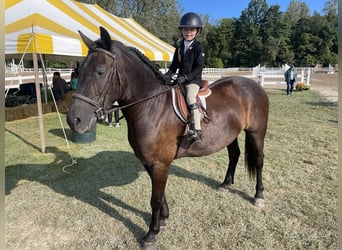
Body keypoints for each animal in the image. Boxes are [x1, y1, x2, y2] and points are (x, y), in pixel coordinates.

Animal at [67, 26, 268, 247]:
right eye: (80, 71)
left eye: (100, 72)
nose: (74, 120)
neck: (151, 106)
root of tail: (254, 84)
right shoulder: (150, 162)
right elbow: (160, 194)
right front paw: (163, 220)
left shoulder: (160, 163)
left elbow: (155, 198)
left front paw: (151, 234)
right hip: (230, 135)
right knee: (234, 155)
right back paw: (225, 185)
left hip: (257, 133)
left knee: (259, 161)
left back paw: (258, 195)